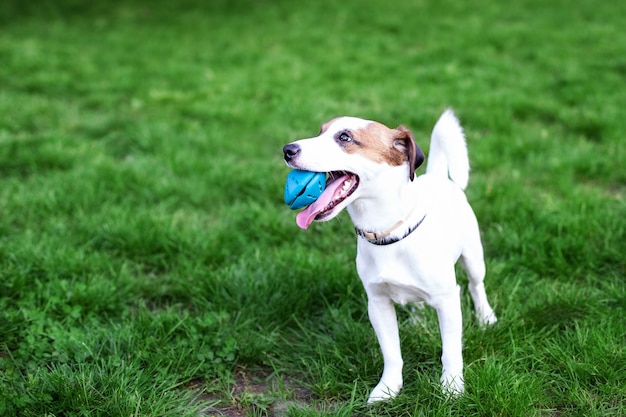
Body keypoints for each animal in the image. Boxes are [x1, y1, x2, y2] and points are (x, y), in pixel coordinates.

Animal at [280, 109, 494, 402]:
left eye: (345, 137)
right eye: (320, 131)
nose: (287, 149)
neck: (387, 232)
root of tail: (438, 176)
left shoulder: (448, 301)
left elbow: (451, 352)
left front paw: (451, 388)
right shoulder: (378, 302)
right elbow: (392, 353)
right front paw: (388, 389)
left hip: (473, 257)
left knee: (476, 285)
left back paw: (486, 317)